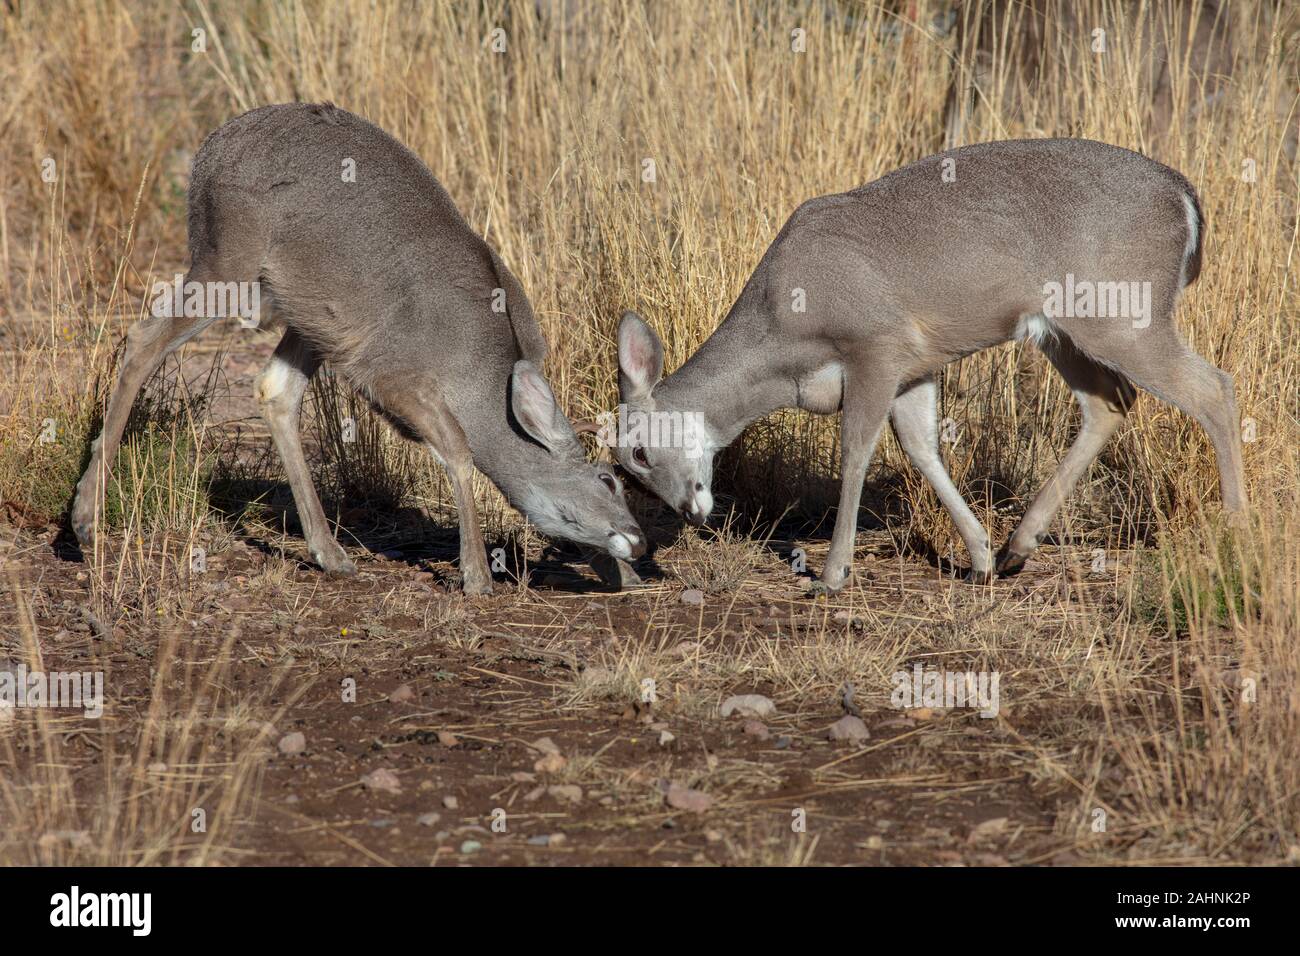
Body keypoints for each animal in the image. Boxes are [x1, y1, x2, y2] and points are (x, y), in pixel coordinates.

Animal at [69, 100, 639, 595]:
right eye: (608, 479)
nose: (636, 538)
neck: (481, 371)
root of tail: (209, 150)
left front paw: (619, 576)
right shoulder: (390, 373)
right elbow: (458, 451)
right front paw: (477, 576)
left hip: (311, 316)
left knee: (273, 390)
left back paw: (331, 553)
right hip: (228, 259)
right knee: (143, 339)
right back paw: (83, 519)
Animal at [613, 138, 1242, 595]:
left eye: (638, 453)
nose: (691, 511)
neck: (783, 334)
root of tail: (1186, 199)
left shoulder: (875, 345)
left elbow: (856, 451)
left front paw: (831, 575)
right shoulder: (914, 368)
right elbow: (920, 447)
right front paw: (979, 556)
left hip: (1122, 314)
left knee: (1214, 389)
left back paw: (1236, 536)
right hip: (1065, 331)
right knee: (1110, 402)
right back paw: (1016, 549)